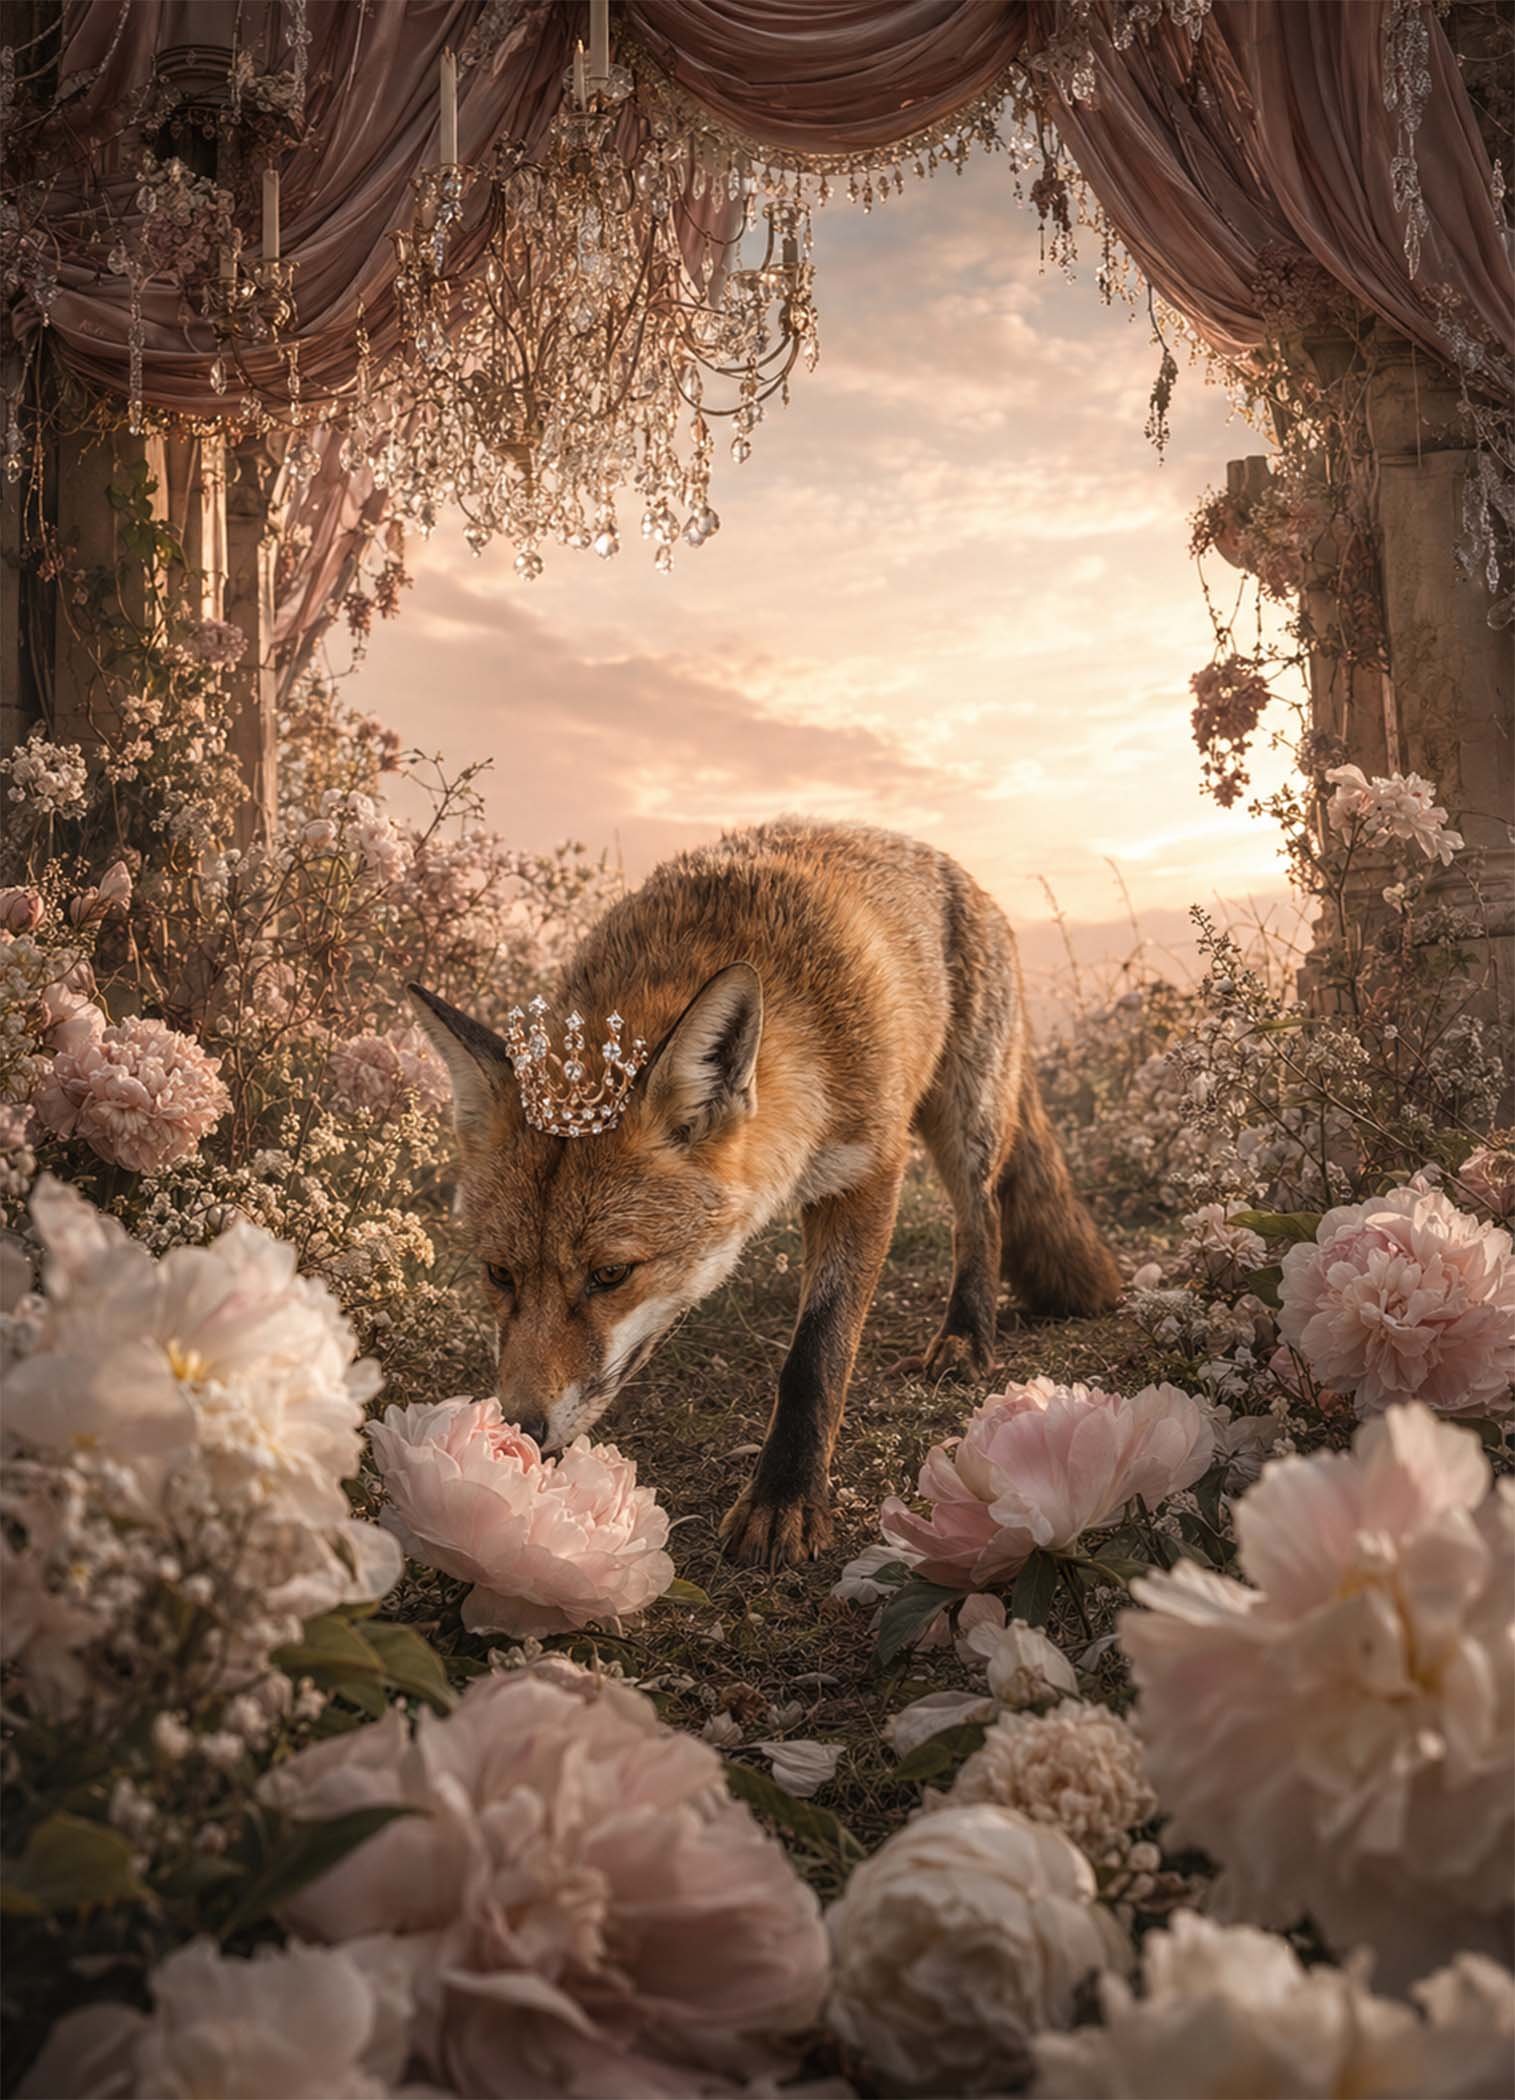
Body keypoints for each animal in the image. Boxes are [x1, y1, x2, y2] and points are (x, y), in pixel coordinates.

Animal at [410, 819, 1122, 1571]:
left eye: (611, 1275)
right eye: (498, 1274)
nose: (520, 1429)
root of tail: (959, 872)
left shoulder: (868, 1170)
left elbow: (817, 1355)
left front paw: (784, 1499)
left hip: (966, 1117)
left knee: (979, 1219)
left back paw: (964, 1338)